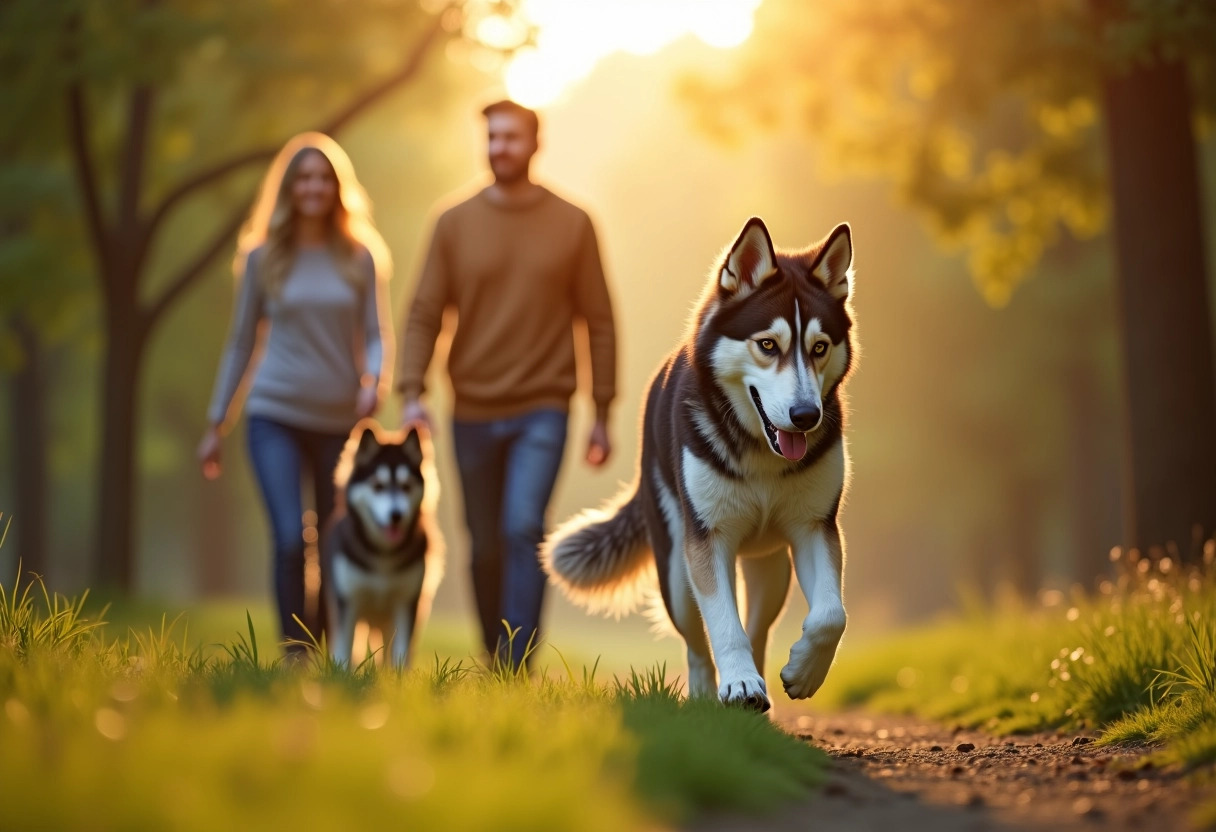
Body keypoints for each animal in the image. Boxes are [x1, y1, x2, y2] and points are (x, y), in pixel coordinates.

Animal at [323, 418, 442, 666]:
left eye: (406, 486)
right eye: (378, 485)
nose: (396, 515)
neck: (383, 557)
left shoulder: (407, 603)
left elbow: (401, 653)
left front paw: (398, 676)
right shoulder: (348, 601)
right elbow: (344, 650)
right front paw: (341, 673)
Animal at [542, 216, 856, 710]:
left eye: (820, 347)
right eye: (768, 344)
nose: (807, 416)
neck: (759, 453)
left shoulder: (814, 526)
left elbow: (830, 615)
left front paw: (804, 672)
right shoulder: (708, 539)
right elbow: (723, 625)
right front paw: (739, 684)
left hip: (771, 569)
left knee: (758, 629)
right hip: (676, 572)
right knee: (697, 642)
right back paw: (712, 695)